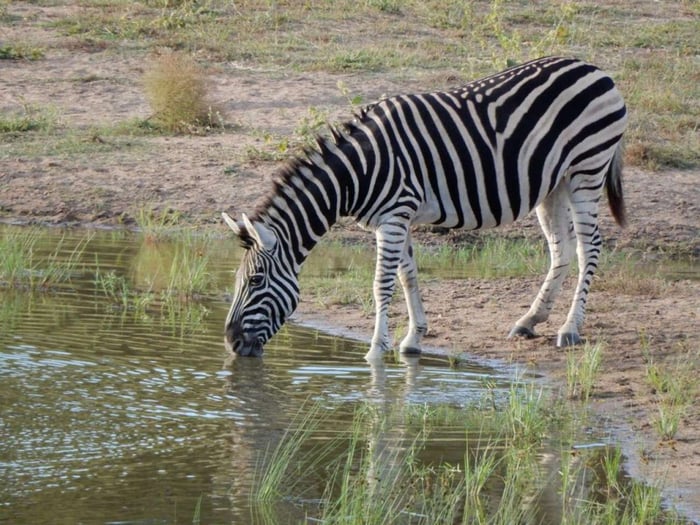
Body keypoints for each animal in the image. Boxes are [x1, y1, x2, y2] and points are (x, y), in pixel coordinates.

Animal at [224, 56, 628, 360]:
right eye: (238, 280)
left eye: (256, 280)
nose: (230, 342)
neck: (358, 172)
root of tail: (595, 69)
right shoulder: (395, 219)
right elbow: (409, 276)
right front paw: (413, 339)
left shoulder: (394, 216)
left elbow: (382, 284)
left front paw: (376, 350)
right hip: (553, 184)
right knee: (561, 249)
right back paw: (529, 320)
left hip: (586, 170)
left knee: (589, 246)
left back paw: (570, 329)